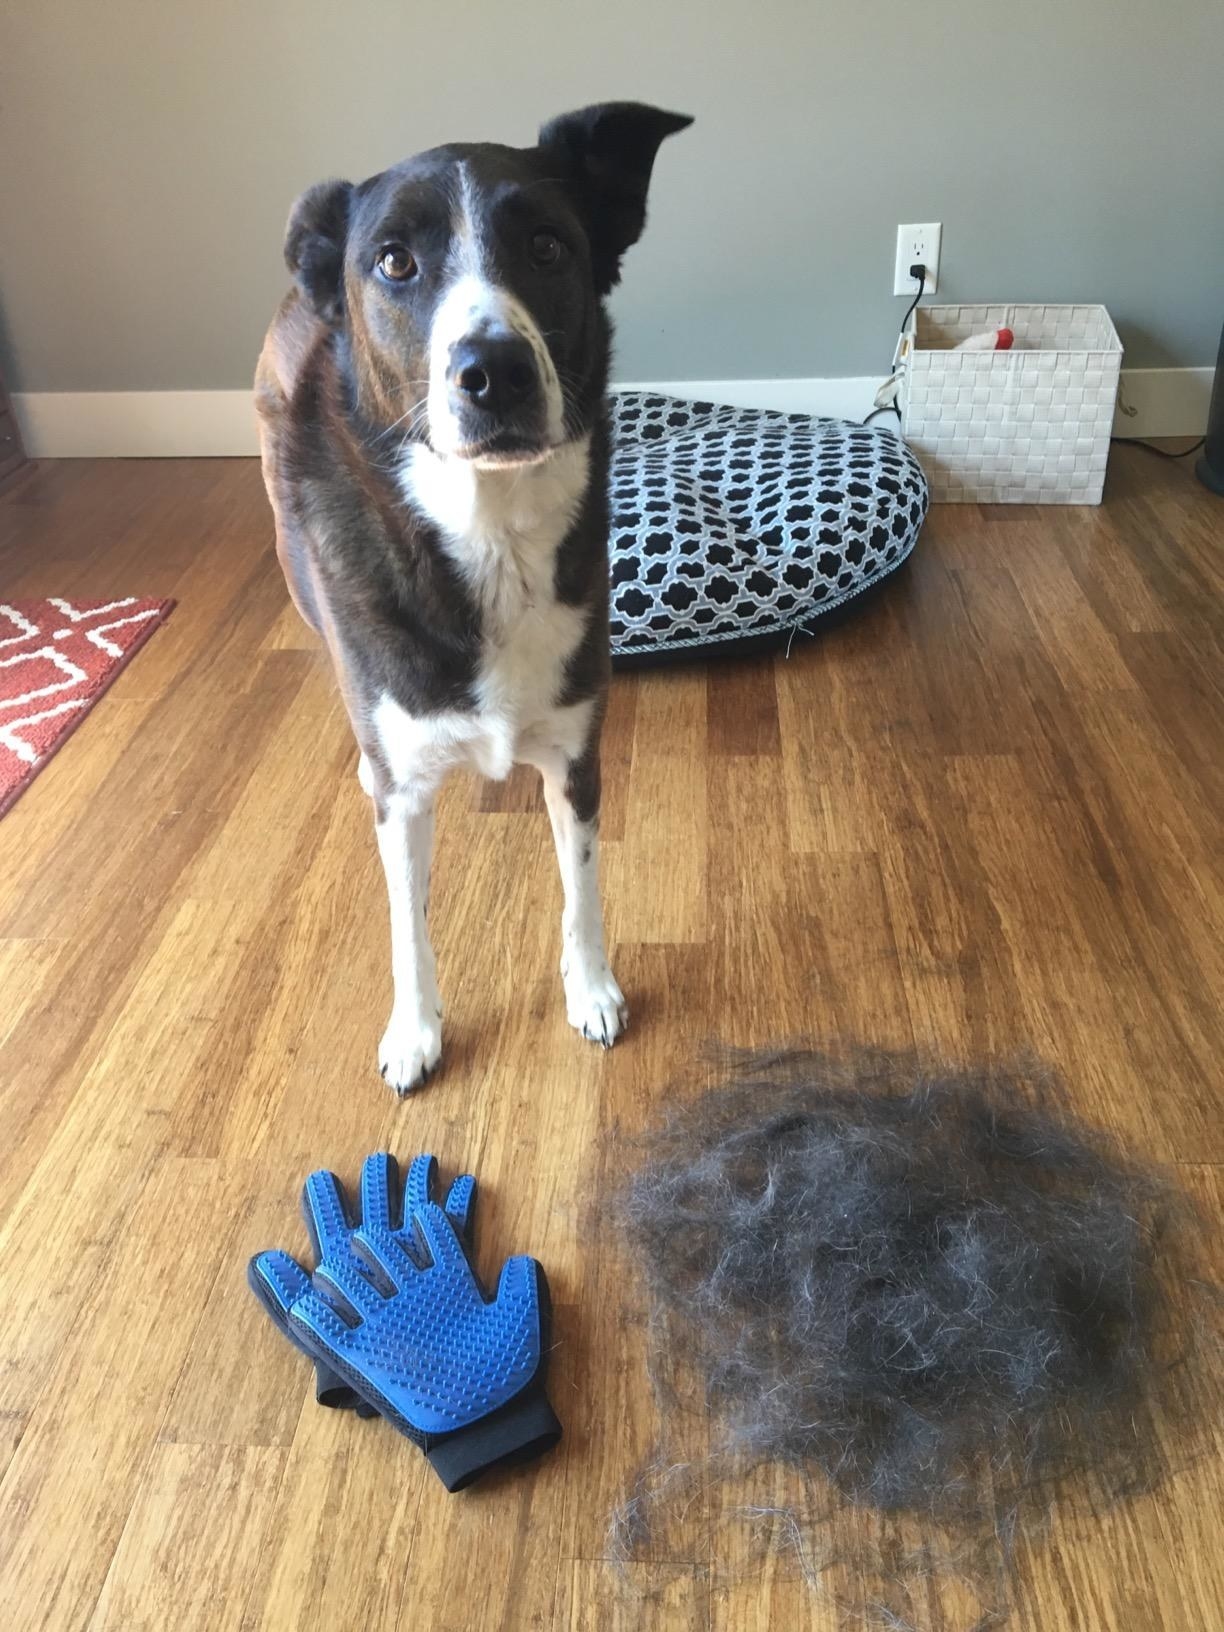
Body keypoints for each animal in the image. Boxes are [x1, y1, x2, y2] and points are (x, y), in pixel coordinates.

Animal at [254, 102, 695, 1096]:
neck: (490, 535)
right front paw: (415, 1031)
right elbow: (407, 924)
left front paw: (592, 990)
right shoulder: (405, 794)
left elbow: (582, 888)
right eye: (394, 262)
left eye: (547, 246)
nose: (494, 370)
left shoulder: (577, 754)